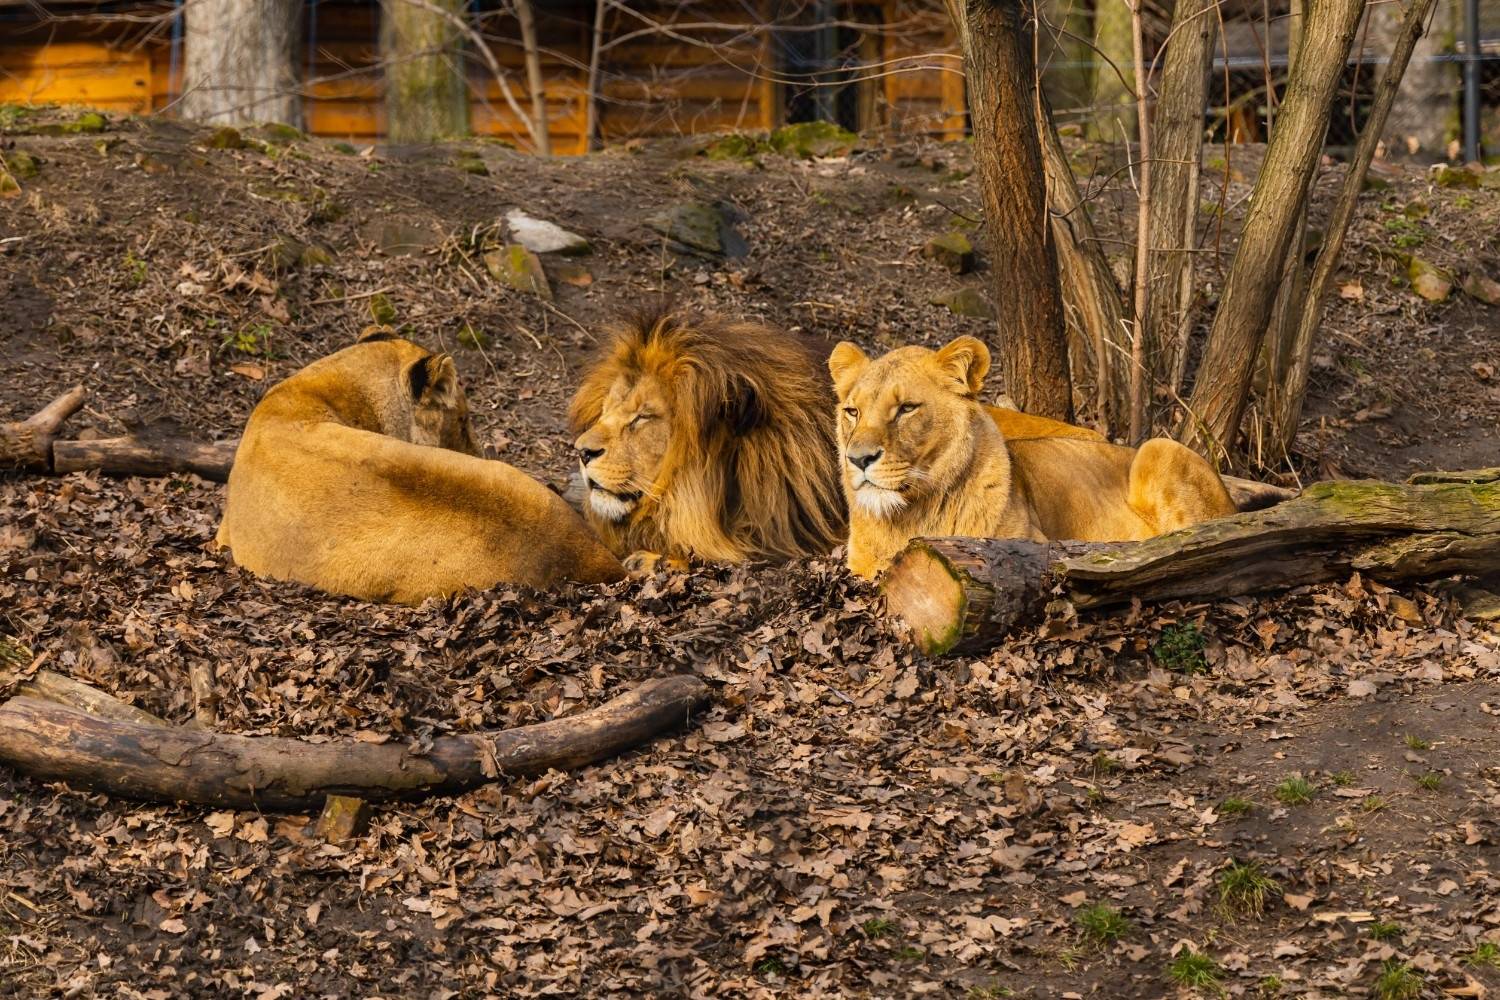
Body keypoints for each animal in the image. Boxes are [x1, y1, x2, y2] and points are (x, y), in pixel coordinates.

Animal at [829, 336, 1241, 579]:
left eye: (906, 408)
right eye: (852, 412)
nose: (858, 459)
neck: (911, 515)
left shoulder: (1031, 544)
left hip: (1159, 448)